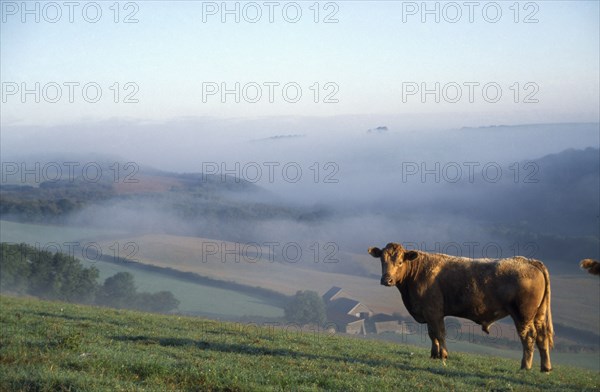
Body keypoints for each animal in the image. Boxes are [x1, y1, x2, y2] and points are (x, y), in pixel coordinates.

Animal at [368, 242, 556, 374]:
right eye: (382, 261)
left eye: (400, 262)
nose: (386, 280)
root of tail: (529, 261)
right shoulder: (429, 313)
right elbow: (432, 334)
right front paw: (434, 355)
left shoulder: (433, 311)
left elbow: (439, 333)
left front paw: (443, 355)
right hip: (538, 315)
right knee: (542, 337)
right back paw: (545, 367)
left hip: (523, 315)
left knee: (529, 337)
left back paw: (526, 366)